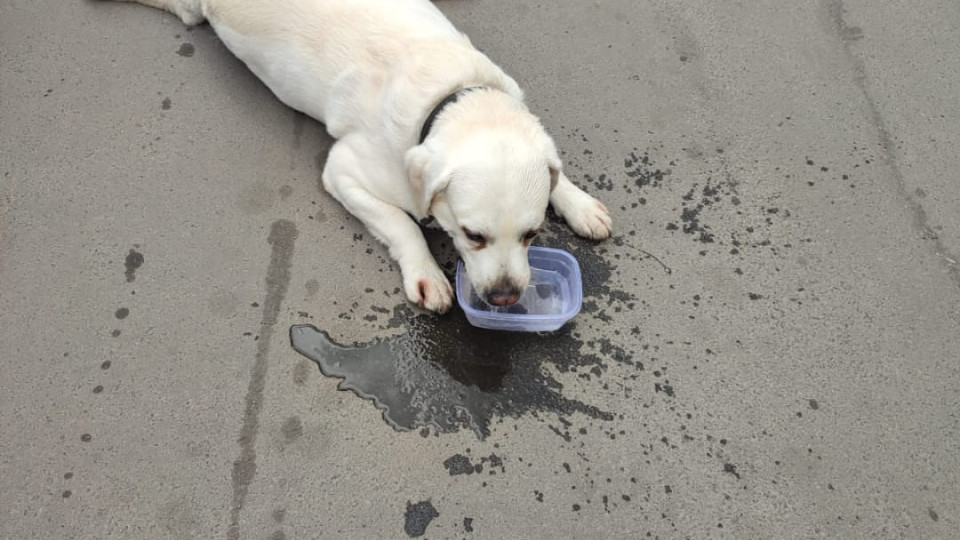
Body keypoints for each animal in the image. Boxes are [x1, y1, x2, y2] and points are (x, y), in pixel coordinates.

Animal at [109, 0, 612, 312]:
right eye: (473, 235)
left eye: (533, 233)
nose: (506, 297)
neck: (456, 94)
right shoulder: (343, 171)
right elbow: (402, 223)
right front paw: (425, 272)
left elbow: (556, 170)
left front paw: (577, 201)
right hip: (191, 10)